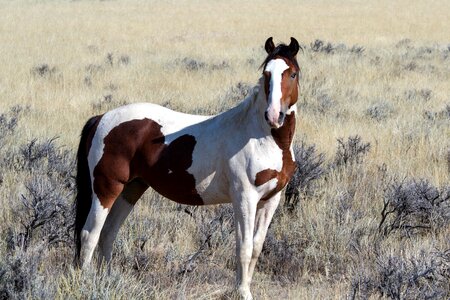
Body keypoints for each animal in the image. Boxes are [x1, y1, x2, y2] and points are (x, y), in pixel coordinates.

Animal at [75, 36, 300, 298]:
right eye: (266, 74)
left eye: (292, 73)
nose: (274, 115)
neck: (261, 136)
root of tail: (101, 118)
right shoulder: (245, 198)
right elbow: (243, 248)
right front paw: (243, 292)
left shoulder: (270, 200)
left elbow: (255, 247)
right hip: (106, 189)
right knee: (90, 234)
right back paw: (87, 284)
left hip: (131, 190)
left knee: (108, 234)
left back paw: (108, 281)